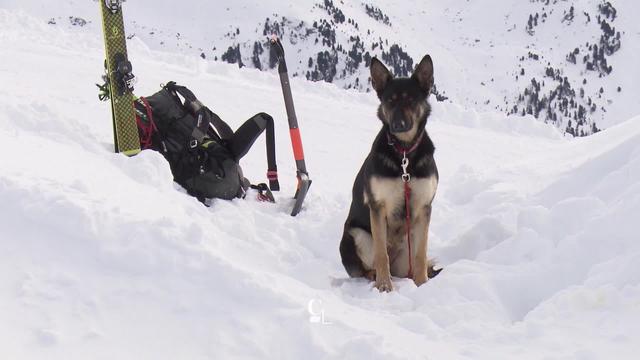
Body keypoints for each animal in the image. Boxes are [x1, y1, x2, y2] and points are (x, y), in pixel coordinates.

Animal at [340, 55, 440, 292]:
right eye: (390, 101)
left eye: (411, 100)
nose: (398, 125)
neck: (404, 153)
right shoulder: (377, 206)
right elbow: (380, 254)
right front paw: (384, 286)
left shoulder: (424, 208)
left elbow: (421, 254)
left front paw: (422, 284)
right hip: (356, 234)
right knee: (369, 265)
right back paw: (377, 277)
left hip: (407, 247)